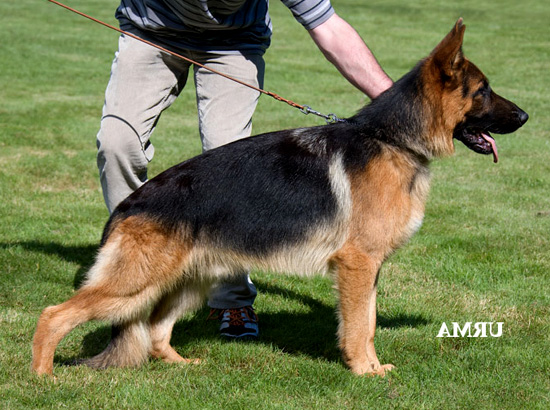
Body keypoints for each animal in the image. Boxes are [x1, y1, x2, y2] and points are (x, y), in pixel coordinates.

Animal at [32, 19, 528, 377]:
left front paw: (370, 367)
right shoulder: (358, 264)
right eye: (483, 91)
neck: (392, 139)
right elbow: (359, 325)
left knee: (154, 330)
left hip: (187, 280)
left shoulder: (371, 268)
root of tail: (127, 206)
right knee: (53, 315)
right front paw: (365, 373)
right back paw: (43, 378)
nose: (526, 116)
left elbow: (367, 323)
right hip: (134, 284)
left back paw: (179, 364)